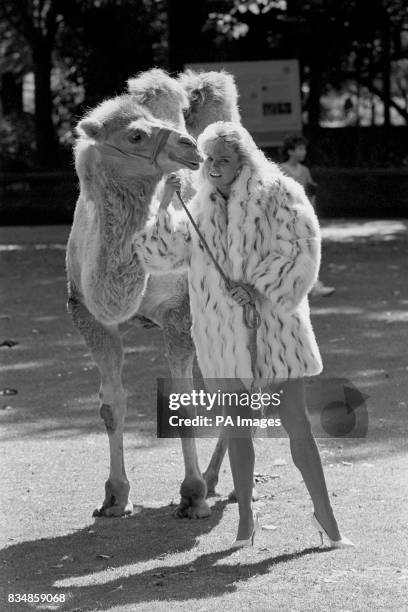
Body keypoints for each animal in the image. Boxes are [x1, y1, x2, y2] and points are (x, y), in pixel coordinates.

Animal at [65, 69, 241, 520]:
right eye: (136, 135)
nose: (190, 147)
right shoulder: (88, 315)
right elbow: (111, 404)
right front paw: (114, 496)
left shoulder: (179, 312)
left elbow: (184, 404)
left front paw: (193, 494)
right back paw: (218, 478)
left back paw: (223, 485)